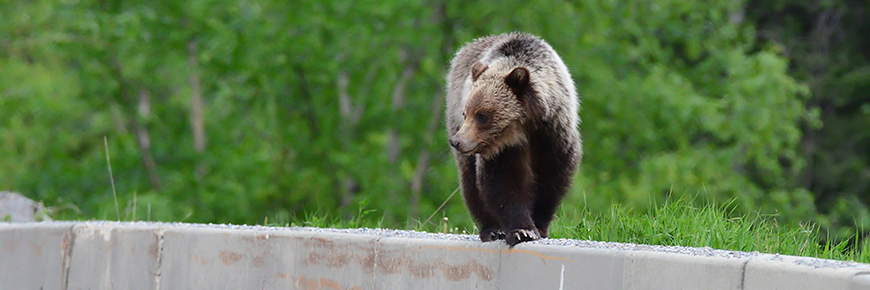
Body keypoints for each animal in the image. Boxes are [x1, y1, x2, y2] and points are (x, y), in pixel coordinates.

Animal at [446, 32, 584, 247]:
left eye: (482, 115)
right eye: (466, 113)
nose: (457, 141)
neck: (524, 128)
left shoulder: (553, 134)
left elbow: (552, 176)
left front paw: (539, 225)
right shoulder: (502, 149)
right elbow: (504, 183)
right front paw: (522, 230)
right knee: (470, 180)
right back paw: (491, 229)